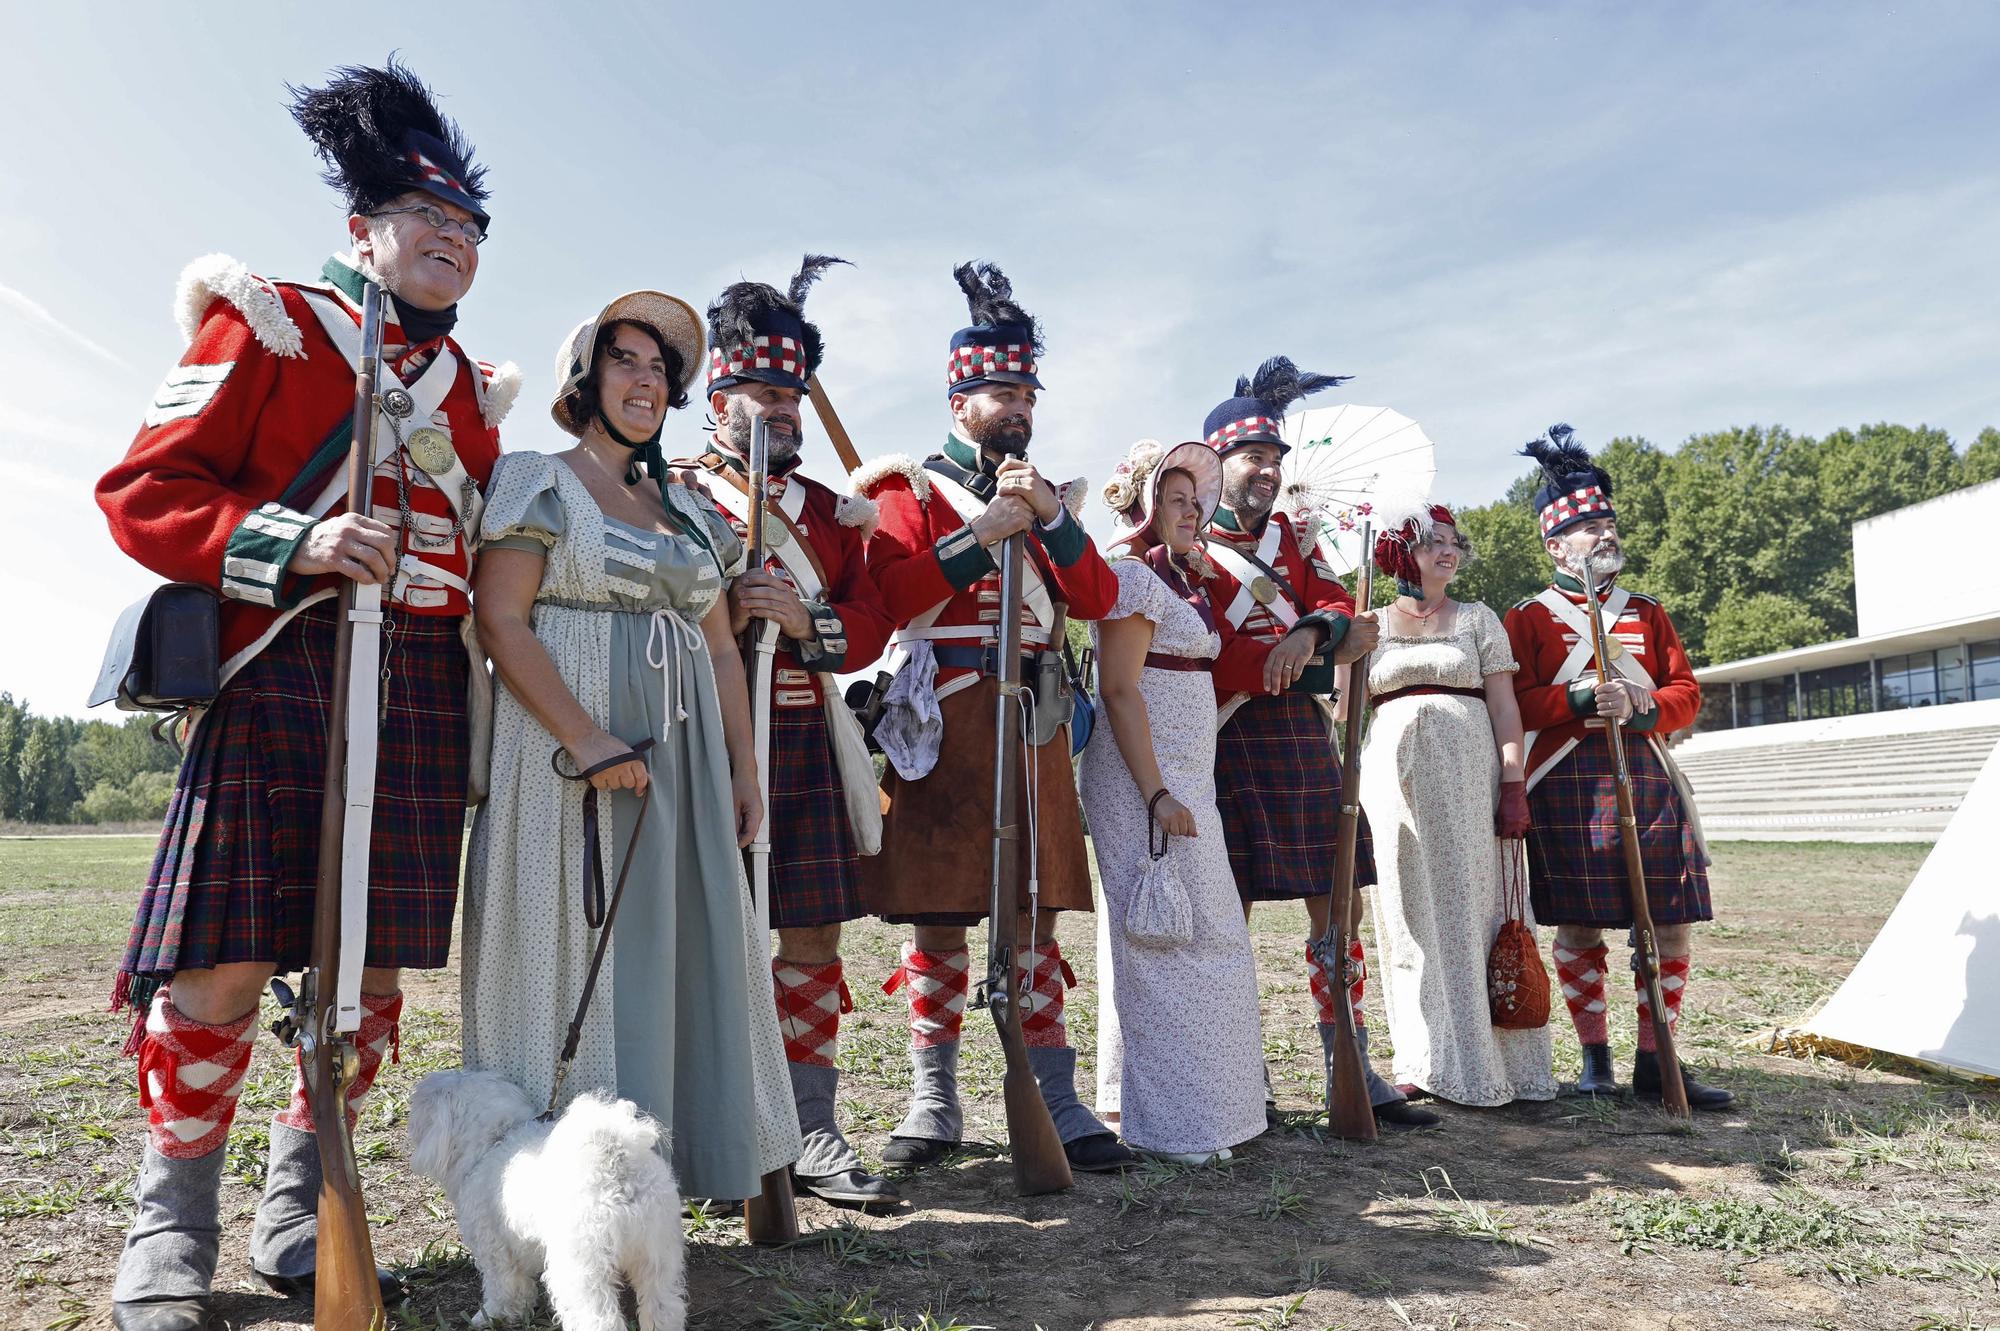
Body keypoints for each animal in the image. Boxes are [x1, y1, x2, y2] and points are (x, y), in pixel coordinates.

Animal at [408, 1071, 688, 1327]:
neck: (495, 1140)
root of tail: (613, 1164)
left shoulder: (494, 1248)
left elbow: (503, 1287)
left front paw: (492, 1316)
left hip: (582, 1266)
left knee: (598, 1318)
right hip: (658, 1254)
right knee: (664, 1307)